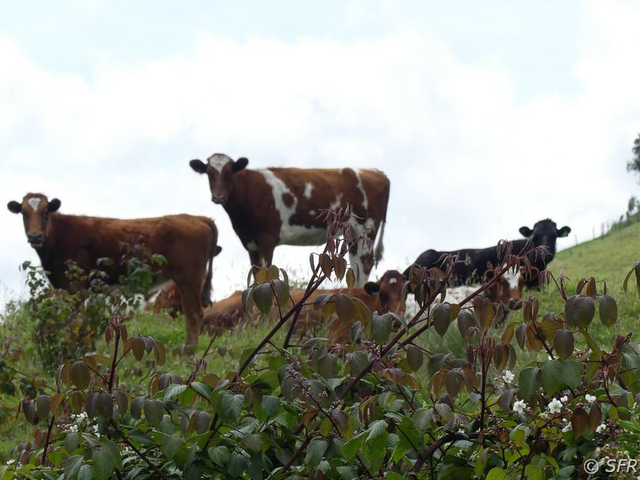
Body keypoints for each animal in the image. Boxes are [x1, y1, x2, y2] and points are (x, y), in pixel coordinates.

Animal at [7, 193, 221, 348]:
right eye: (24, 213)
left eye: (45, 212)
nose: (35, 236)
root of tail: (199, 218)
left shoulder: (75, 285)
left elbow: (73, 321)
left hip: (189, 278)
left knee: (194, 315)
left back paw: (188, 353)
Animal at [189, 153, 390, 286]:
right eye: (209, 174)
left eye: (229, 173)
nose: (218, 196)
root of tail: (376, 172)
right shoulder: (250, 242)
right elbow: (255, 273)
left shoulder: (267, 238)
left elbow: (265, 272)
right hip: (354, 233)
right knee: (356, 265)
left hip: (366, 228)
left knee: (364, 264)